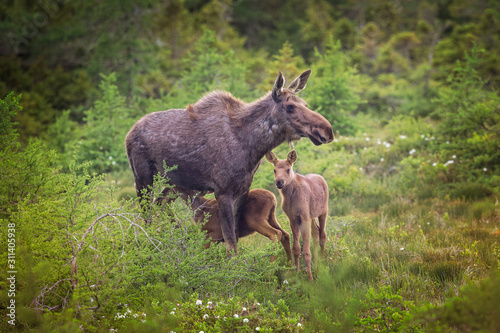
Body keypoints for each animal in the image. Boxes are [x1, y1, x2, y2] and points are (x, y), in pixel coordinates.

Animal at [127, 68, 334, 253]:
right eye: (290, 106)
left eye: (305, 103)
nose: (327, 130)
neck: (251, 146)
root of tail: (129, 133)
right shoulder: (223, 191)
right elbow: (230, 243)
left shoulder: (242, 191)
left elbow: (234, 237)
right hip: (143, 178)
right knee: (146, 214)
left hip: (172, 182)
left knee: (160, 205)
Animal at [264, 149, 330, 278]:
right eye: (274, 170)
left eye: (288, 169)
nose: (279, 182)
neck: (290, 197)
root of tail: (322, 178)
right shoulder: (293, 219)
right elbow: (296, 249)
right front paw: (297, 272)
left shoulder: (303, 217)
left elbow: (306, 252)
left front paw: (310, 278)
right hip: (311, 216)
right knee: (316, 232)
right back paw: (316, 265)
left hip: (323, 211)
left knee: (323, 235)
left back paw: (322, 262)